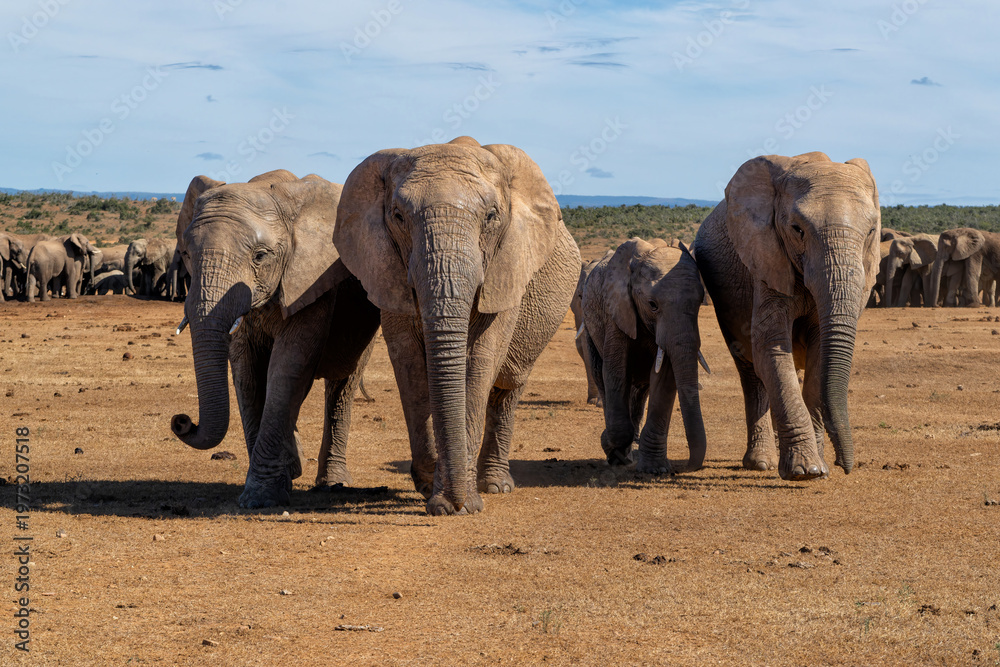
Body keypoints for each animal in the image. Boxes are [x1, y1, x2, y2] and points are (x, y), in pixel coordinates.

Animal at [169, 170, 381, 508]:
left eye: (259, 256)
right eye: (187, 254)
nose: (183, 421)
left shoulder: (311, 279)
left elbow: (288, 367)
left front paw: (260, 497)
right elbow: (247, 372)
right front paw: (280, 479)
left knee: (342, 384)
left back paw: (332, 483)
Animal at [333, 136, 581, 516]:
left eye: (491, 216)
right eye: (398, 216)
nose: (453, 502)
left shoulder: (506, 267)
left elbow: (480, 361)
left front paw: (462, 505)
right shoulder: (388, 268)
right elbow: (408, 362)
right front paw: (432, 490)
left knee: (508, 387)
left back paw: (495, 485)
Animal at [582, 238, 709, 474]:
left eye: (699, 303)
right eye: (652, 305)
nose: (685, 468)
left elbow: (664, 379)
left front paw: (654, 469)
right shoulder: (616, 310)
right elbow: (615, 372)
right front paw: (613, 448)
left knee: (640, 391)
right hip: (590, 328)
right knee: (601, 375)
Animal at [693, 152, 881, 480]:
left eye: (871, 231)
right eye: (797, 229)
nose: (844, 466)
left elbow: (819, 353)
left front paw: (818, 468)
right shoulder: (765, 257)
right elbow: (769, 346)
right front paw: (806, 470)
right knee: (750, 369)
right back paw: (761, 462)